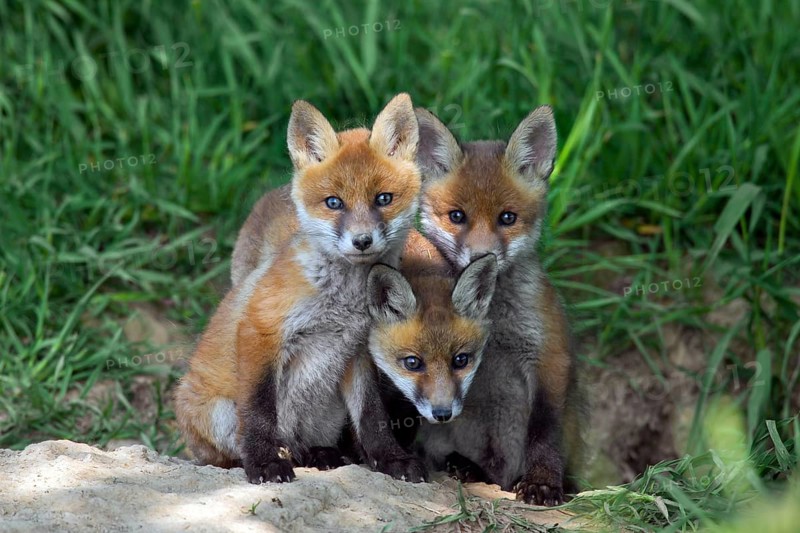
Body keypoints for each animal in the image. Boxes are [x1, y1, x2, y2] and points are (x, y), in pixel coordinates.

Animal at [174, 93, 428, 484]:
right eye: (334, 202)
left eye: (383, 199)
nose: (362, 241)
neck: (340, 303)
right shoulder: (261, 332)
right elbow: (259, 412)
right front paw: (264, 462)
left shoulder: (357, 351)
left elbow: (372, 416)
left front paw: (390, 458)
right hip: (219, 413)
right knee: (228, 454)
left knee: (305, 443)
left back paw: (318, 454)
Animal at [409, 105, 586, 506]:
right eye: (457, 216)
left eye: (507, 218)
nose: (482, 256)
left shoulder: (550, 358)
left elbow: (544, 434)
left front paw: (543, 483)